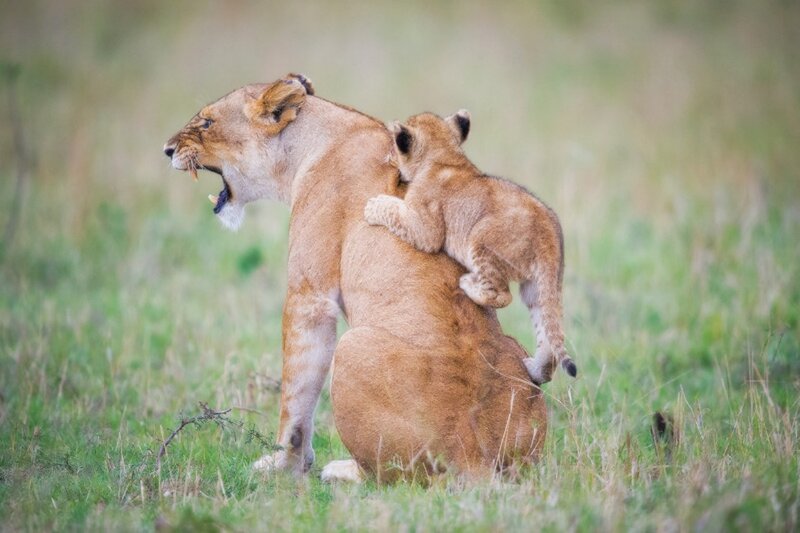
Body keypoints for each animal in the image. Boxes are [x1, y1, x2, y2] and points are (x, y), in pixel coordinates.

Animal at [163, 74, 546, 481]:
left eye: (207, 122)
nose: (166, 150)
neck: (315, 142)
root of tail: (476, 456)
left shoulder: (309, 295)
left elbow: (296, 392)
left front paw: (284, 464)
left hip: (351, 348)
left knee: (392, 478)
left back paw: (343, 472)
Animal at [364, 110, 577, 385]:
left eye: (393, 145)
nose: (388, 158)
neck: (445, 157)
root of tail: (548, 232)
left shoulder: (426, 229)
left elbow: (396, 213)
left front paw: (373, 206)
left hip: (480, 239)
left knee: (502, 295)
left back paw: (468, 284)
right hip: (539, 285)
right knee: (547, 334)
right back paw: (535, 370)